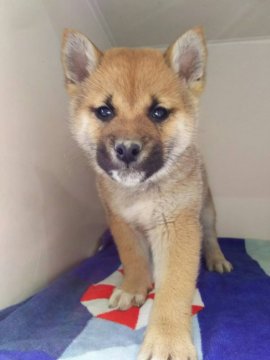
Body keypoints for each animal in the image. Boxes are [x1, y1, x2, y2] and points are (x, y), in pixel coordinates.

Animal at [61, 27, 232, 360]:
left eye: (158, 112)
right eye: (105, 111)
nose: (127, 149)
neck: (140, 191)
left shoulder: (178, 227)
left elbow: (174, 290)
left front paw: (167, 340)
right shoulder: (121, 223)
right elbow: (134, 257)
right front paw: (133, 287)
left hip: (205, 211)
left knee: (210, 236)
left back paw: (216, 258)